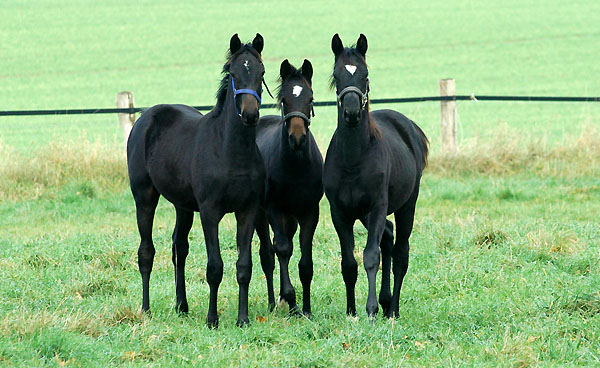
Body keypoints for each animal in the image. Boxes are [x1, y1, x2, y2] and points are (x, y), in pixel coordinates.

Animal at [126, 33, 268, 328]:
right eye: (233, 73)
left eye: (261, 73)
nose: (250, 115)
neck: (230, 151)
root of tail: (144, 118)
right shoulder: (210, 212)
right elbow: (215, 267)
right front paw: (212, 319)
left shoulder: (247, 211)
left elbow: (244, 267)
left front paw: (243, 319)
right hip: (144, 197)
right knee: (146, 252)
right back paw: (146, 309)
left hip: (183, 206)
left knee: (179, 247)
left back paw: (182, 305)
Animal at [253, 58, 324, 316]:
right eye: (283, 100)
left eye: (310, 99)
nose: (297, 138)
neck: (296, 167)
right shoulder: (275, 209)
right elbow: (281, 249)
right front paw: (291, 299)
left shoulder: (309, 211)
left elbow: (305, 258)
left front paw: (306, 309)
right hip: (260, 215)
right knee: (268, 255)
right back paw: (274, 302)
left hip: (291, 218)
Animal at [324, 34, 426, 320]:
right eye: (336, 75)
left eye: (365, 74)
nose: (351, 113)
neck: (353, 160)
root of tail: (411, 128)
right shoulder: (340, 213)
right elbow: (349, 263)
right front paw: (351, 311)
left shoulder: (378, 206)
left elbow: (371, 256)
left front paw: (370, 311)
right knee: (388, 238)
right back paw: (386, 300)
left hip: (405, 206)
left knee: (400, 253)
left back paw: (392, 310)